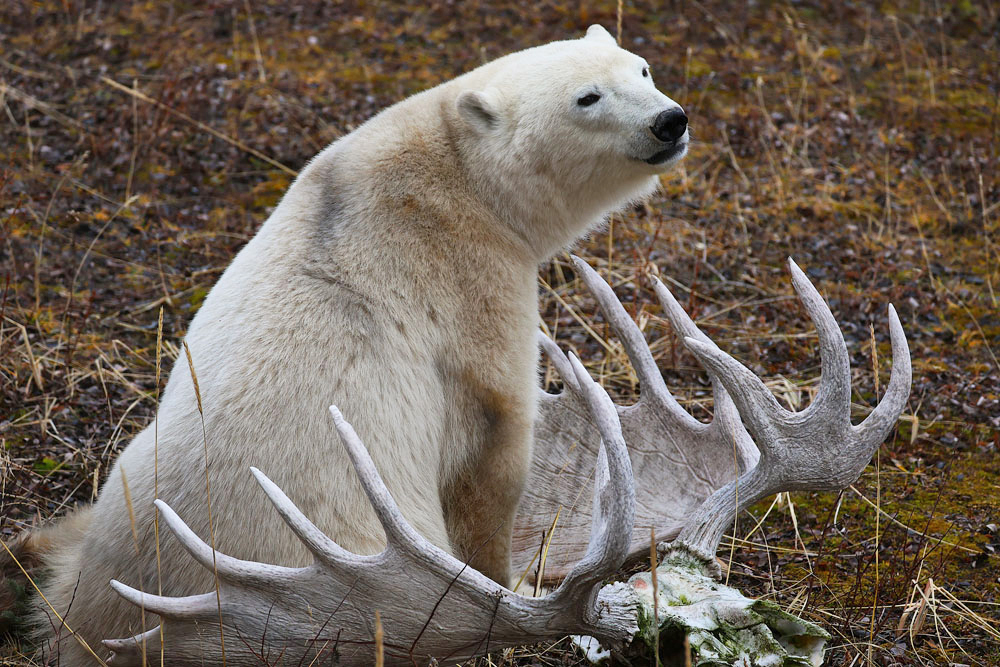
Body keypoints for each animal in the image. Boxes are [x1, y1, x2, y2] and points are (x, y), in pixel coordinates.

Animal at [13, 23, 688, 664]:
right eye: (587, 97)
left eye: (642, 68)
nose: (670, 120)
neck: (454, 168)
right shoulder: (470, 279)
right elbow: (490, 443)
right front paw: (514, 581)